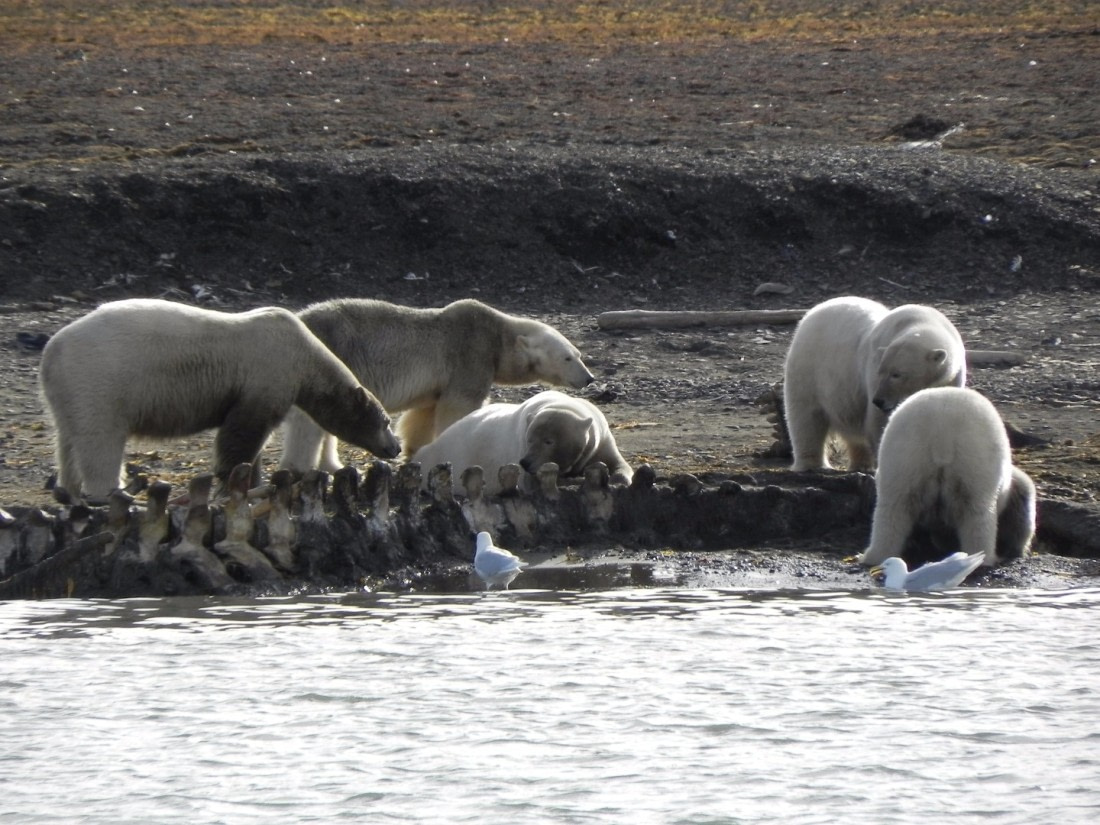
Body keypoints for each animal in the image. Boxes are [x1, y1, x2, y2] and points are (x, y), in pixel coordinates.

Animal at [39, 299, 400, 502]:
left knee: (67, 440)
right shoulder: (266, 373)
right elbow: (241, 434)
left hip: (67, 390)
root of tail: (51, 350)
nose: (395, 448)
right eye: (385, 421)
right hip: (100, 380)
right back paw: (111, 491)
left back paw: (69, 488)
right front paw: (235, 483)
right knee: (101, 439)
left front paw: (253, 479)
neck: (305, 351)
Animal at [278, 297, 595, 472]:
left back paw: (331, 465)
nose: (589, 378)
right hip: (326, 359)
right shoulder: (470, 354)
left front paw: (413, 449)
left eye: (579, 355)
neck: (499, 336)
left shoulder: (438, 382)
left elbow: (424, 413)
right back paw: (303, 466)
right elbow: (459, 407)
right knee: (309, 424)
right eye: (568, 357)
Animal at [411, 390, 634, 496]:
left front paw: (615, 477)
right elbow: (536, 482)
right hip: (442, 454)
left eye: (548, 441)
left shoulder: (600, 438)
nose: (525, 462)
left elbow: (618, 464)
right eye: (529, 439)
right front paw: (575, 480)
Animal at [783, 296, 966, 472]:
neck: (920, 321)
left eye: (896, 374)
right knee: (806, 417)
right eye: (881, 372)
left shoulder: (951, 378)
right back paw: (812, 464)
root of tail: (812, 312)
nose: (879, 401)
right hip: (809, 369)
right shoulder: (874, 369)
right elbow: (881, 421)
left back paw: (861, 464)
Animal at [859, 387, 1036, 569]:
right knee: (977, 511)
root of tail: (941, 434)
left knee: (893, 507)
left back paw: (875, 555)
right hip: (975, 459)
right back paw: (983, 557)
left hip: (904, 456)